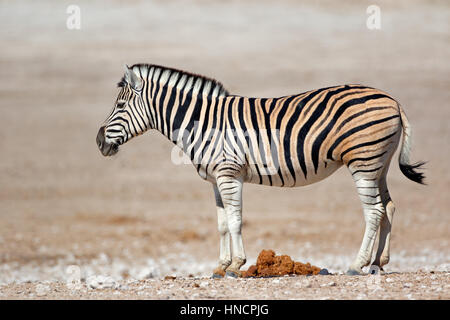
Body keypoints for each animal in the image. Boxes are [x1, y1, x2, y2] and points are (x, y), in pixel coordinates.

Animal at [96, 63, 426, 278]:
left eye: (121, 106)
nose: (99, 142)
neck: (202, 122)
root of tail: (392, 99)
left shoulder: (229, 173)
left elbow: (235, 221)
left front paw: (236, 265)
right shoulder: (216, 179)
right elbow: (221, 223)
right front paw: (220, 266)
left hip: (363, 161)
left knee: (373, 211)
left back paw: (357, 265)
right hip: (378, 163)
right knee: (388, 207)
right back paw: (378, 263)